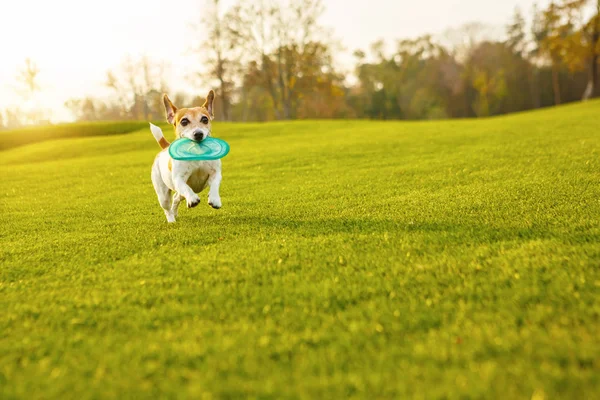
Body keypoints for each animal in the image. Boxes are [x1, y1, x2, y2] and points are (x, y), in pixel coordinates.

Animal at [149, 89, 224, 223]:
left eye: (205, 119)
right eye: (184, 121)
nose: (198, 134)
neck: (197, 153)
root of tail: (166, 148)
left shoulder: (215, 173)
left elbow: (215, 184)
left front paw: (214, 199)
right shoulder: (178, 179)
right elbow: (186, 188)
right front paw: (193, 199)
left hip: (178, 195)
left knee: (176, 198)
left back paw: (175, 212)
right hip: (163, 194)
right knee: (167, 207)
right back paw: (171, 220)